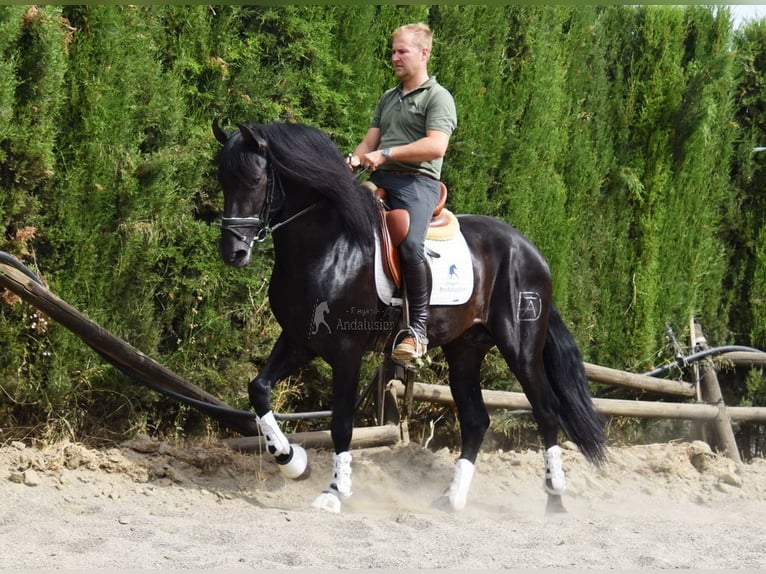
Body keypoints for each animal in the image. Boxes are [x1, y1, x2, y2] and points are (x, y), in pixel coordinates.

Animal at [212, 120, 607, 514]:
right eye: (223, 180)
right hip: (465, 349)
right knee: (476, 420)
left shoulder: (346, 351)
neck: (329, 245)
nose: (234, 253)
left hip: (520, 347)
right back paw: (451, 498)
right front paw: (292, 461)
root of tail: (531, 251)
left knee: (546, 410)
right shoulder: (300, 339)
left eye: (254, 180)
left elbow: (341, 423)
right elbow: (259, 389)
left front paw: (335, 491)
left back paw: (554, 499)